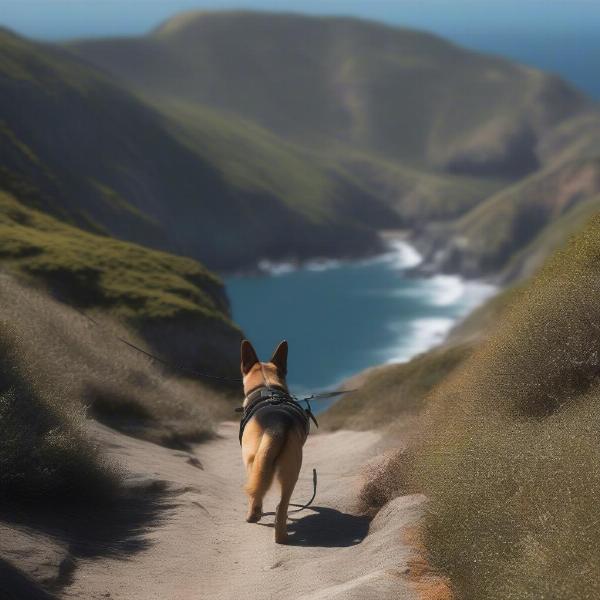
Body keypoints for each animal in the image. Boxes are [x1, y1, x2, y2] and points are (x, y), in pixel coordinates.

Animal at [238, 338, 308, 544]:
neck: (267, 385)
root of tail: (278, 424)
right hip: (291, 469)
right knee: (282, 506)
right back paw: (282, 536)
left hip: (254, 461)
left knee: (257, 494)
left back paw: (253, 516)